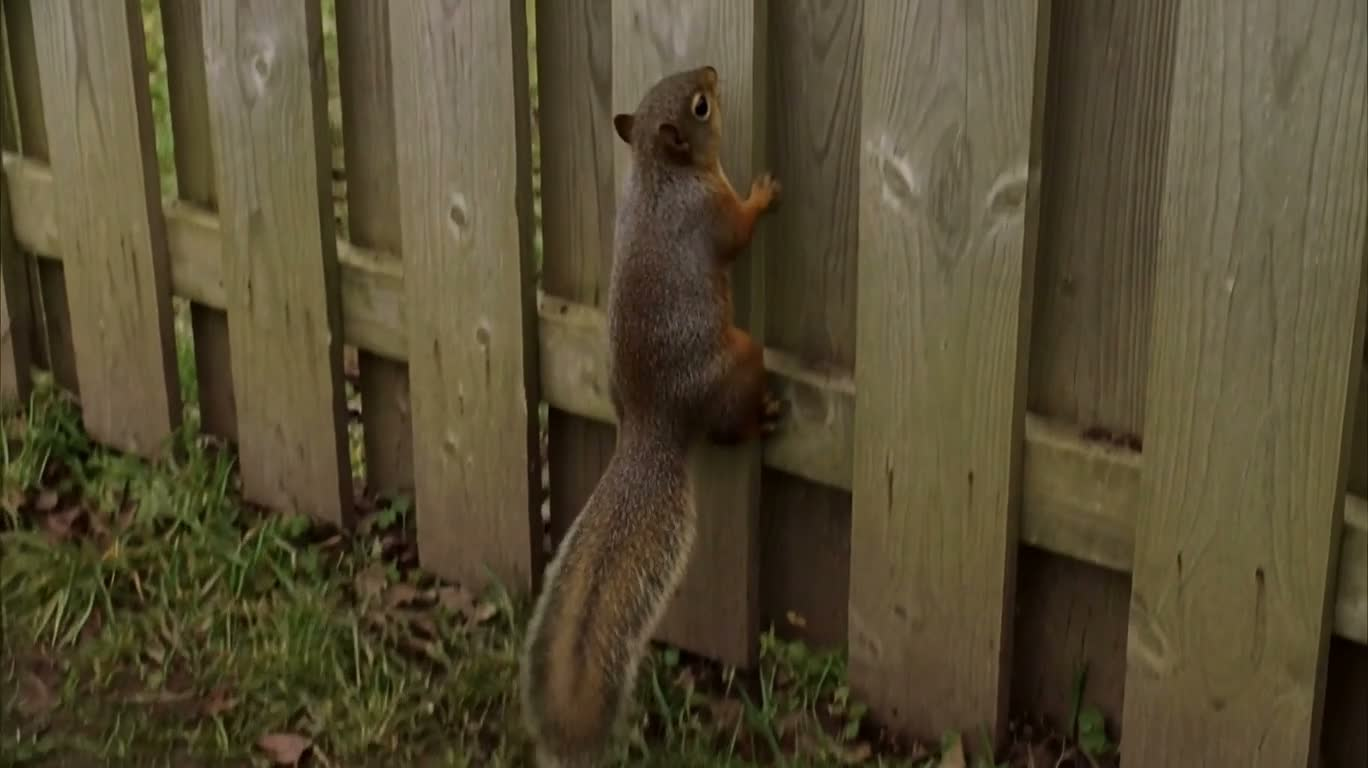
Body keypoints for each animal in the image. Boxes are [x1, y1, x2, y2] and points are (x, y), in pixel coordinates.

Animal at [519, 65, 783, 767]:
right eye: (700, 105)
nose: (712, 70)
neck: (659, 174)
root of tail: (649, 427)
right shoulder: (709, 215)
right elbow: (740, 231)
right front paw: (763, 194)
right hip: (742, 359)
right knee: (728, 428)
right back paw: (763, 418)